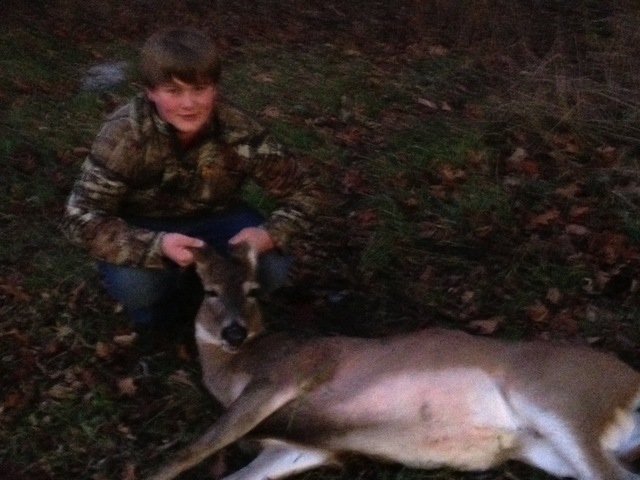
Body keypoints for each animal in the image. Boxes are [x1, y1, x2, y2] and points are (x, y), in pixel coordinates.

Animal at [144, 243, 640, 480]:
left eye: (252, 291)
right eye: (210, 291)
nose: (234, 332)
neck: (232, 370)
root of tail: (630, 382)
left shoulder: (287, 373)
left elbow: (195, 447)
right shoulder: (302, 448)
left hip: (561, 398)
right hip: (549, 449)